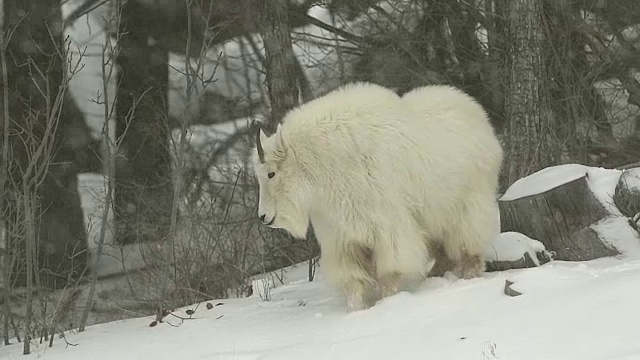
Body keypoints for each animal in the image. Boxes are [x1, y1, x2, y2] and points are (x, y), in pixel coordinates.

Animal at [252, 83, 502, 310]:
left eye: (271, 173)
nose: (264, 217)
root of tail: (480, 117)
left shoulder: (386, 228)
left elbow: (389, 271)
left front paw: (387, 302)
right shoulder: (343, 237)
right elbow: (353, 281)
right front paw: (356, 311)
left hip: (469, 206)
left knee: (469, 245)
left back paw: (468, 275)